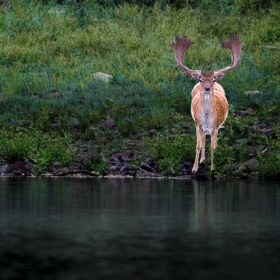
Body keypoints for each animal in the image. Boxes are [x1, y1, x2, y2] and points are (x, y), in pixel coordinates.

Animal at [170, 35, 244, 172]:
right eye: (200, 79)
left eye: (213, 79)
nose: (207, 88)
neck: (207, 117)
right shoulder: (198, 124)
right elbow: (198, 146)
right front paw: (194, 168)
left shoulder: (215, 127)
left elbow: (213, 147)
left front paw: (213, 168)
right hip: (198, 125)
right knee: (203, 138)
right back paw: (202, 160)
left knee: (211, 140)